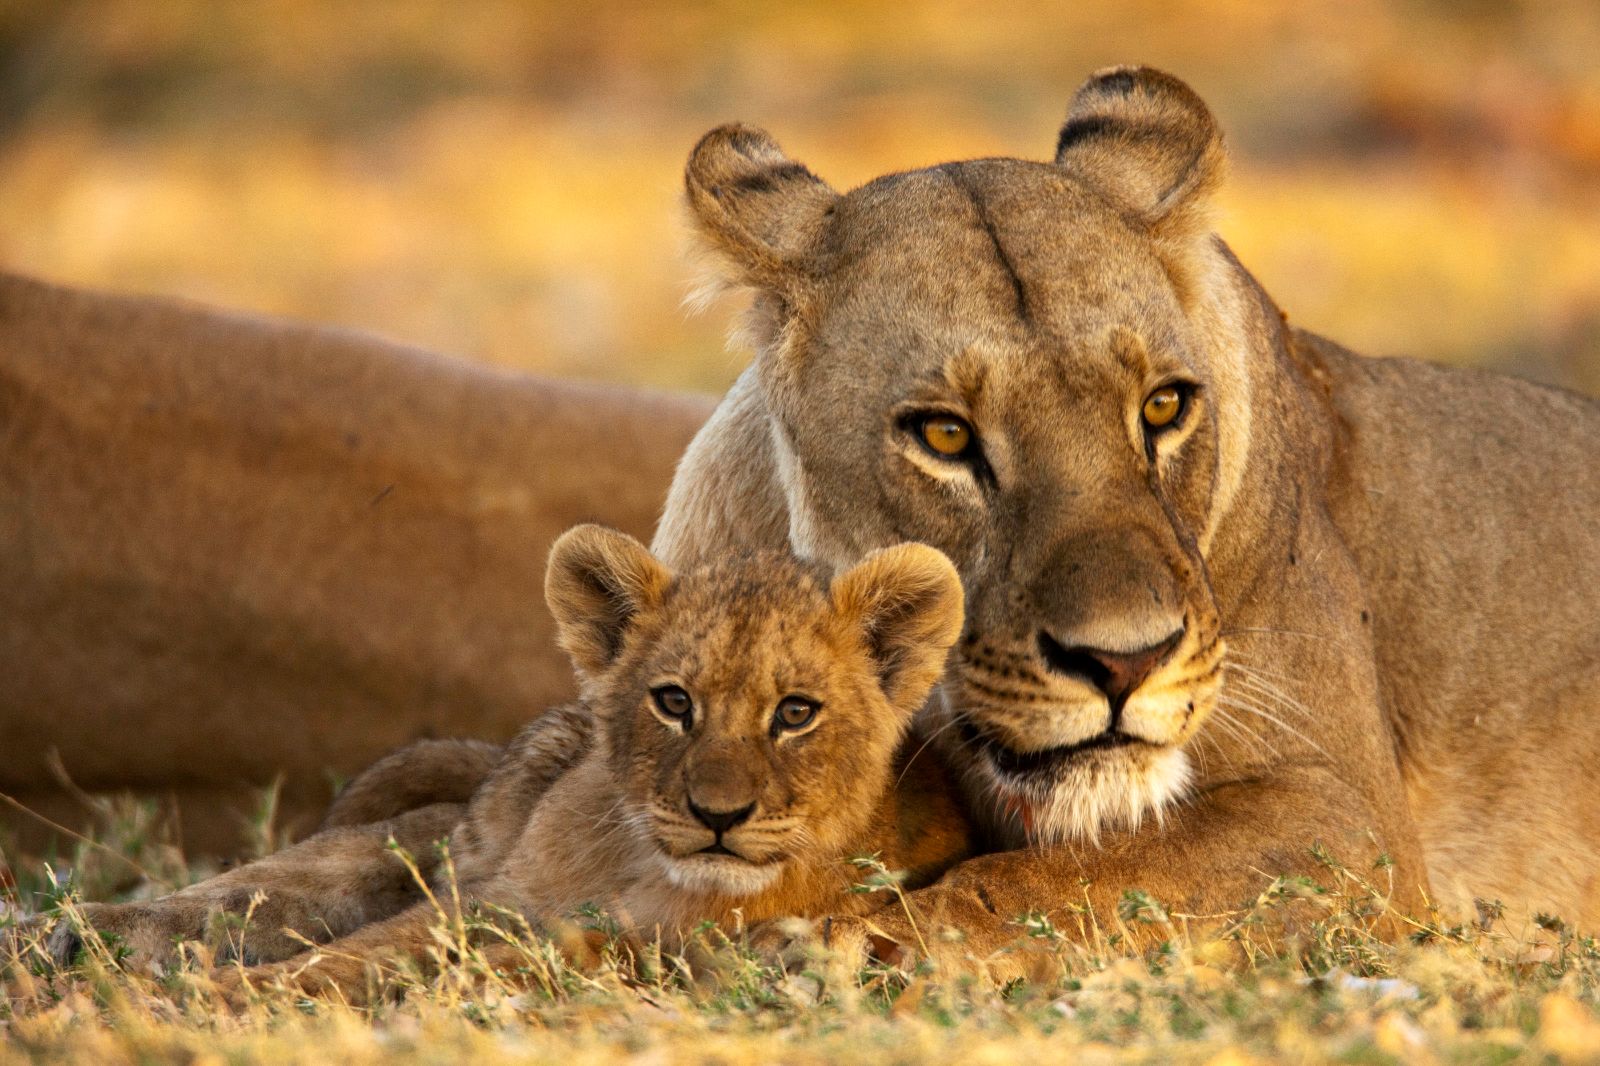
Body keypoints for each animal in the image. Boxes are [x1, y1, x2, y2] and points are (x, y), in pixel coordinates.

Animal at [48, 525, 974, 995]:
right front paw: (227, 992)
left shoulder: (636, 947)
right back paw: (75, 936)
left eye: (795, 713)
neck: (648, 872)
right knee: (290, 878)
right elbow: (366, 947)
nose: (717, 817)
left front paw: (230, 1000)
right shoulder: (493, 898)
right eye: (674, 702)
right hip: (449, 834)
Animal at [641, 65, 1600, 963]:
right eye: (945, 434)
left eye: (1163, 407)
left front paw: (866, 942)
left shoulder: (1350, 822)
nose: (1124, 662)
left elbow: (1074, 876)